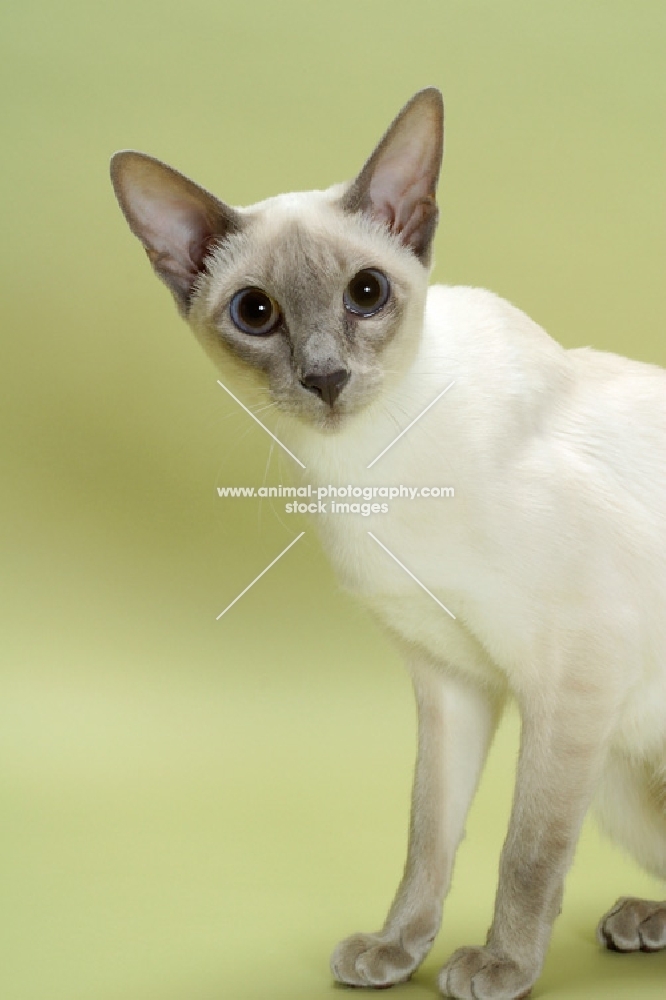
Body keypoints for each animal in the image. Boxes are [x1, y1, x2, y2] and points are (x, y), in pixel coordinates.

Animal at [110, 90, 664, 996]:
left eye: (366, 294)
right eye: (255, 313)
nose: (326, 377)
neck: (368, 471)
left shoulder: (576, 673)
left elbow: (528, 850)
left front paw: (503, 965)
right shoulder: (450, 678)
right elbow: (427, 839)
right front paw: (397, 950)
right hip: (616, 771)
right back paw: (641, 920)